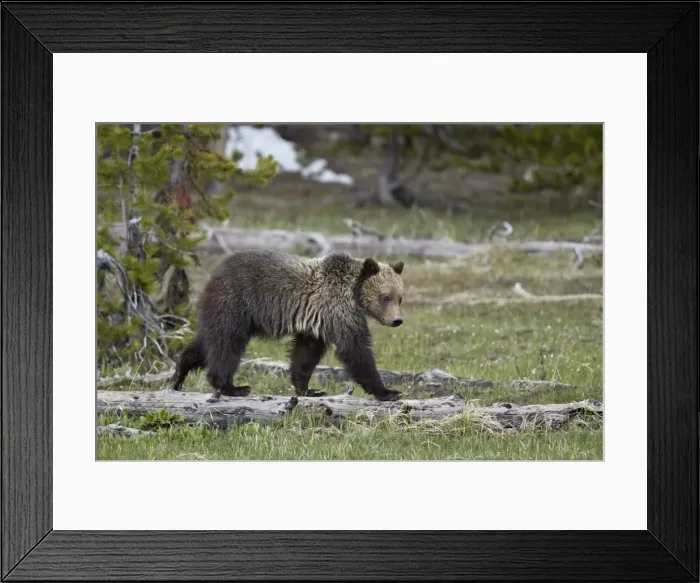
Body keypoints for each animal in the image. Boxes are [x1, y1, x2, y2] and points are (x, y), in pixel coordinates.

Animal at [170, 248, 405, 401]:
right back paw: (232, 387)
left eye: (399, 298)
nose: (397, 320)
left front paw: (308, 389)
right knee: (226, 344)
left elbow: (306, 353)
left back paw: (179, 374)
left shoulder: (317, 321)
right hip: (235, 303)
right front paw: (388, 391)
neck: (353, 292)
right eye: (385, 297)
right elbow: (355, 349)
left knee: (207, 341)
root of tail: (214, 273)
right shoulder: (338, 310)